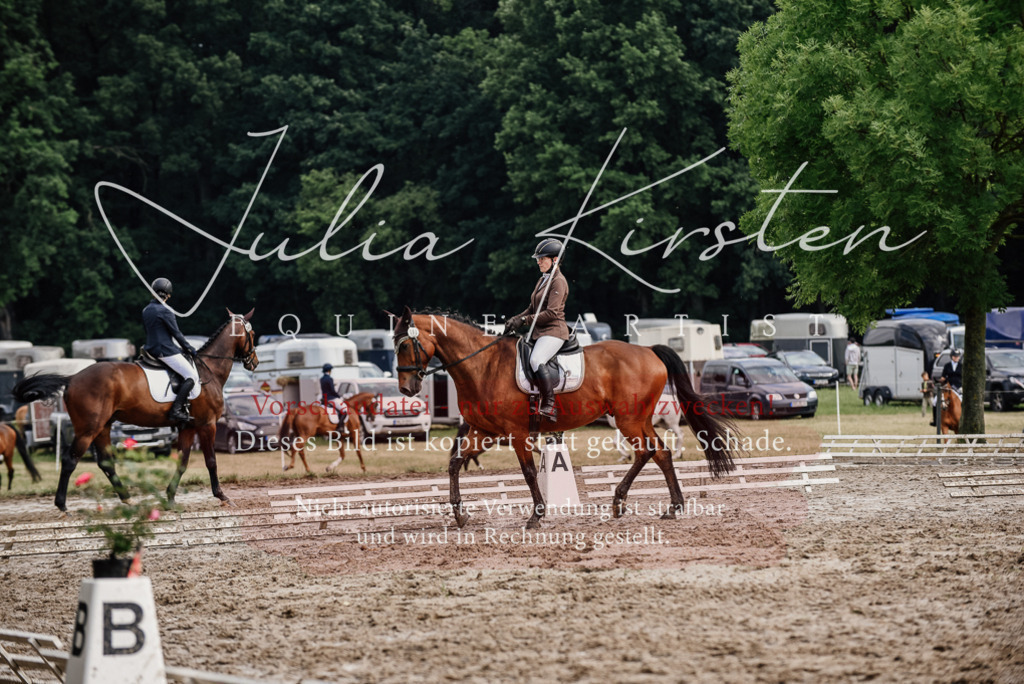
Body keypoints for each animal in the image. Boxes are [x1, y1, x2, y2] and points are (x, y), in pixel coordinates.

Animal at [12, 309, 257, 512]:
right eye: (252, 334)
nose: (253, 362)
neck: (210, 370)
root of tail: (72, 379)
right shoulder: (207, 424)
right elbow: (211, 461)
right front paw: (222, 496)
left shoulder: (188, 426)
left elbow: (182, 462)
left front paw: (170, 498)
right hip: (87, 430)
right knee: (70, 460)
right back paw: (62, 505)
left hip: (103, 427)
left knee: (105, 462)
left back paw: (127, 498)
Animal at [391, 308, 738, 529]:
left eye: (406, 344)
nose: (407, 389)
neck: (483, 365)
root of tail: (649, 351)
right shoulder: (483, 431)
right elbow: (454, 464)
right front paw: (460, 515)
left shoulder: (517, 433)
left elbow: (529, 473)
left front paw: (536, 515)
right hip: (638, 419)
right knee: (658, 452)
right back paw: (663, 506)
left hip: (630, 419)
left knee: (649, 451)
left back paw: (631, 502)